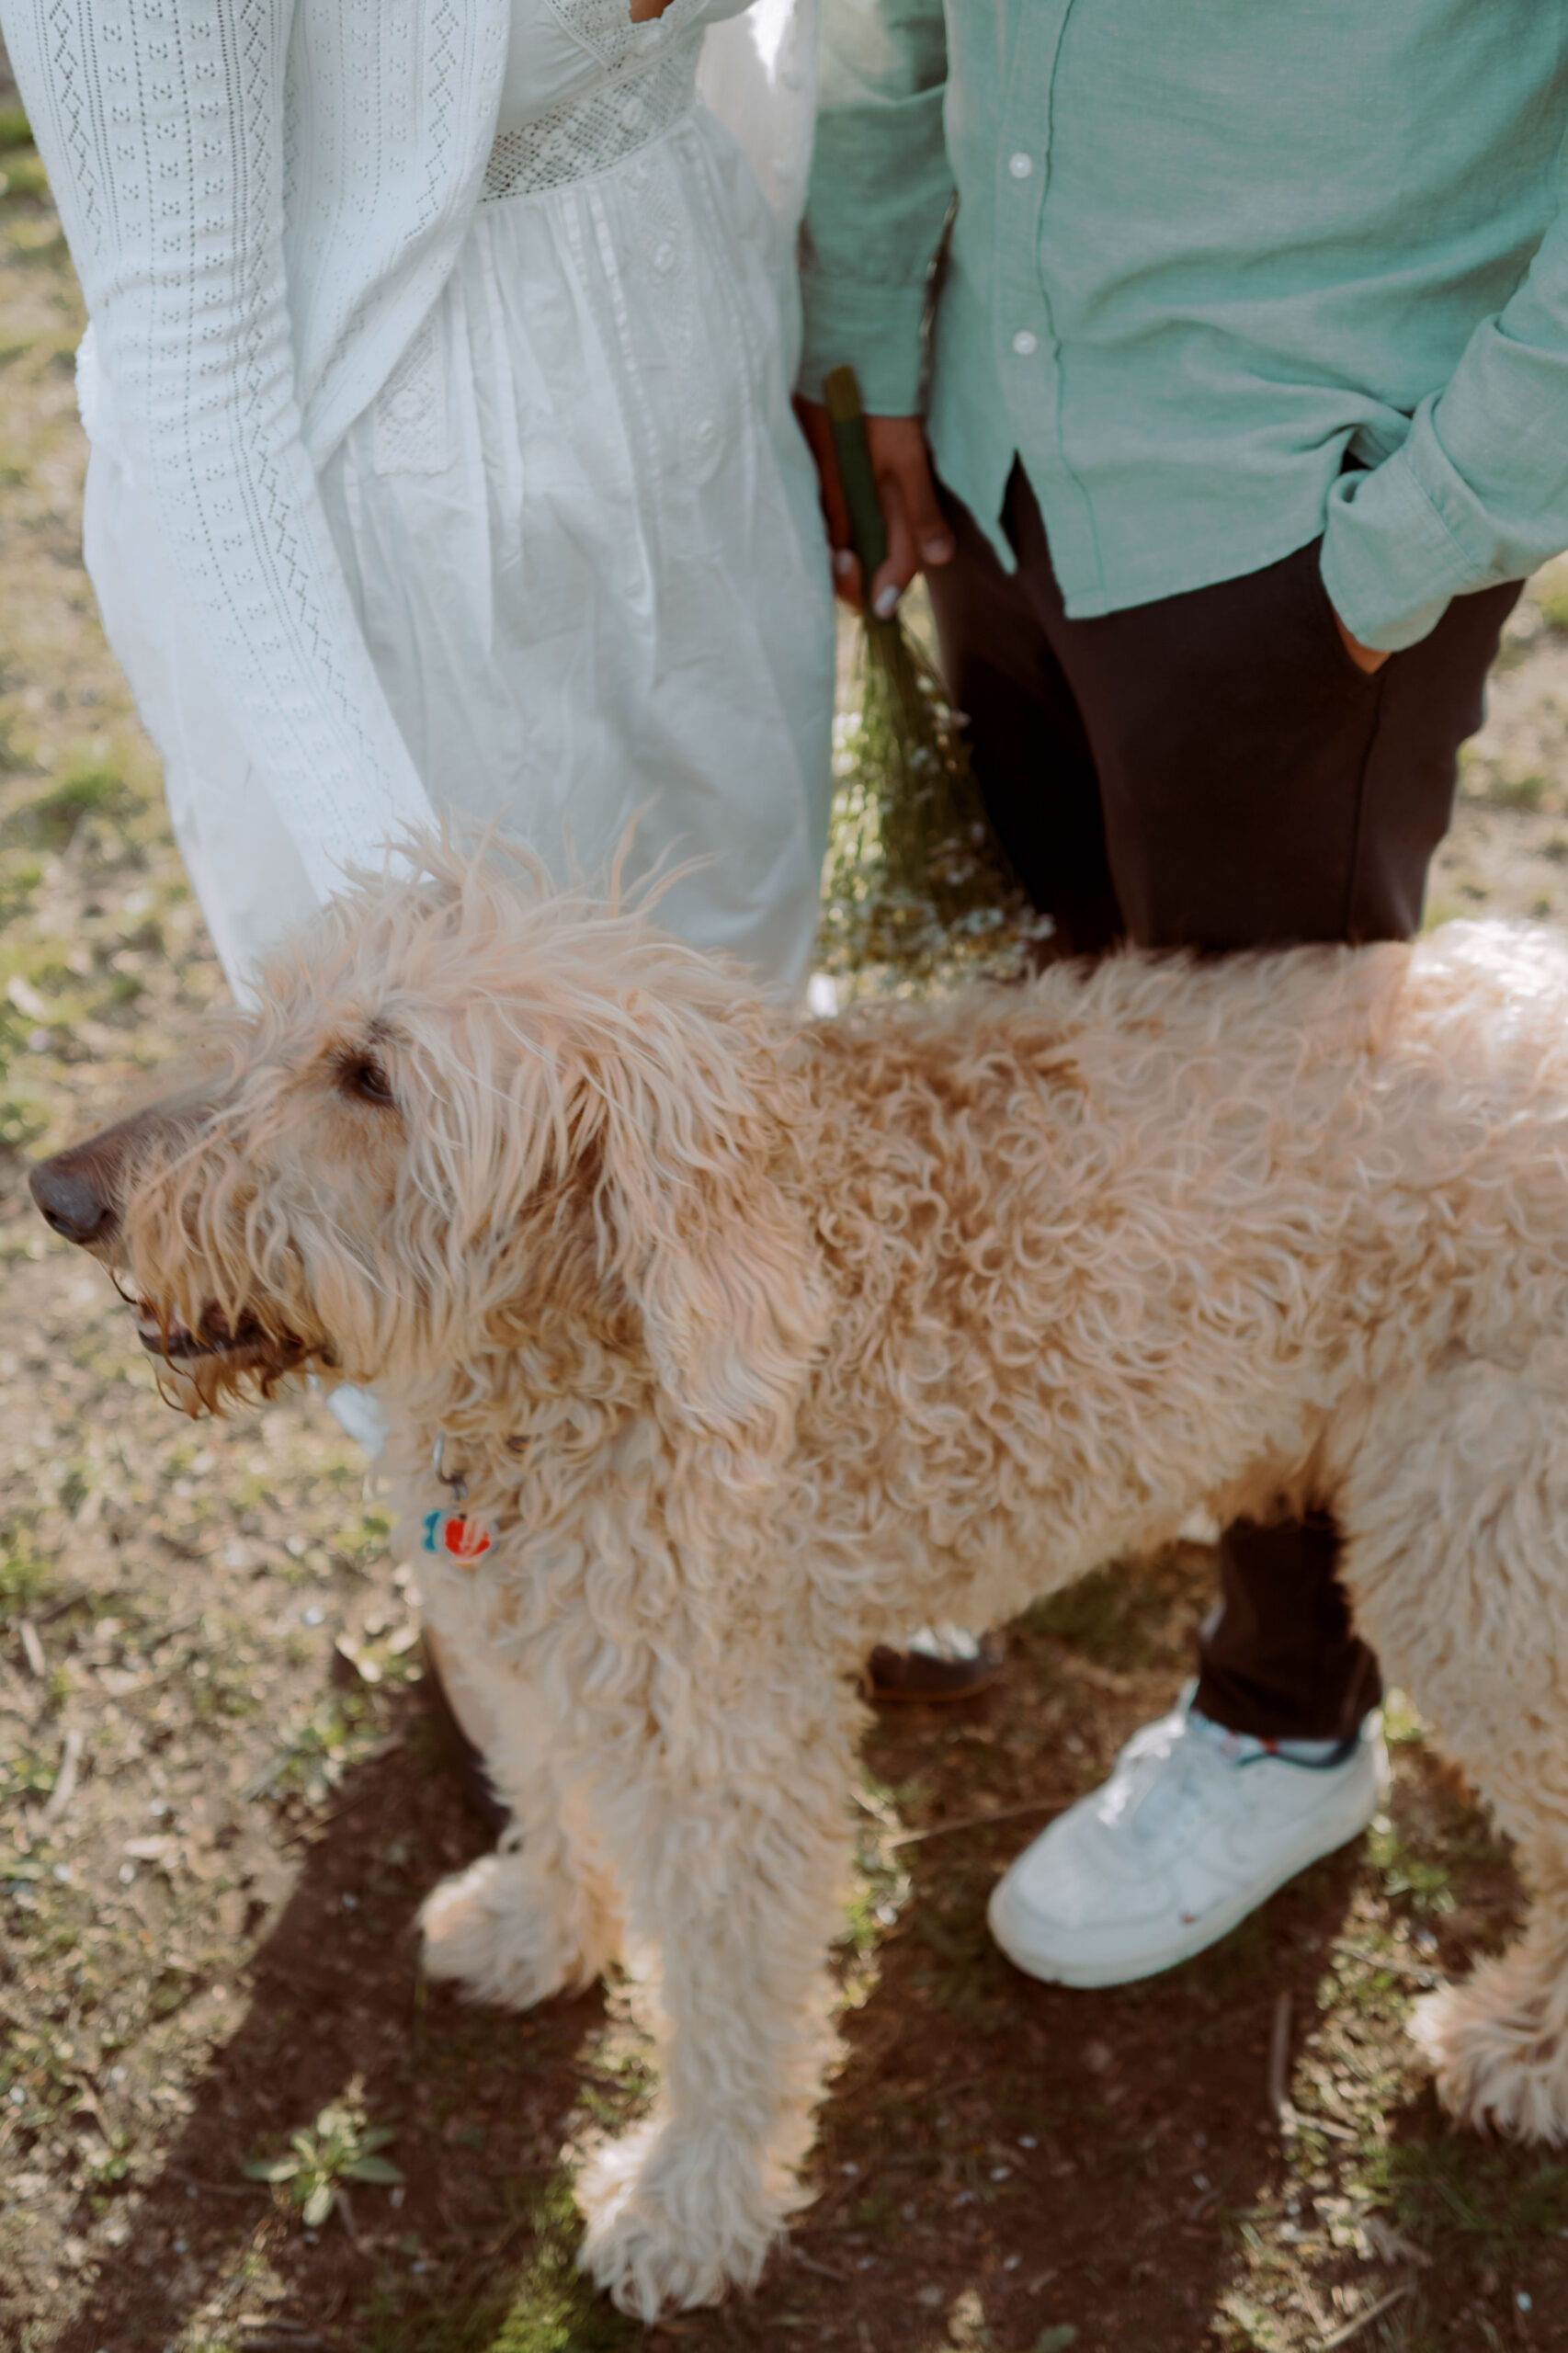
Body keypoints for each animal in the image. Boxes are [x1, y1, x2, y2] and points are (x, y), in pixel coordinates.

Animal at [33, 837, 1568, 2305]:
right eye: (270, 1010)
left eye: (369, 1078)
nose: (58, 1194)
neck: (580, 1354)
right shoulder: (535, 1633)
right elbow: (546, 1793)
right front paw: (540, 1925)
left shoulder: (725, 1748)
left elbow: (725, 1997)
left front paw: (687, 2210)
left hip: (1474, 1566)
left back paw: (1518, 2043)